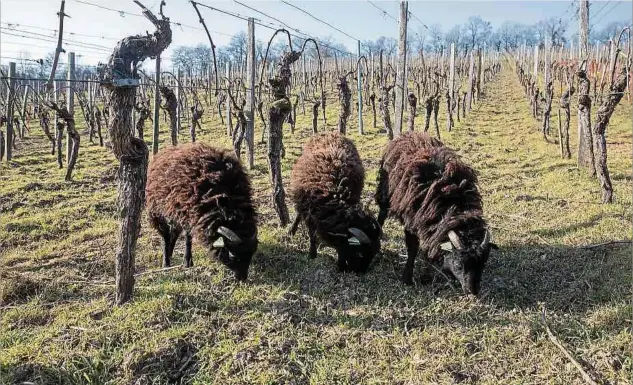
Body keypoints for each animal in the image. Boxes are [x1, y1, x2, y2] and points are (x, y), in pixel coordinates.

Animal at [146, 142, 256, 280]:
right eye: (232, 255)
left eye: (251, 253)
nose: (242, 278)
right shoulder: (187, 214)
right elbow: (188, 239)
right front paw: (187, 262)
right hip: (158, 213)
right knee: (165, 236)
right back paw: (166, 263)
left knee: (174, 235)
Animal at [288, 134, 380, 272]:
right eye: (359, 253)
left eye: (374, 254)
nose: (360, 273)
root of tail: (330, 133)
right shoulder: (311, 212)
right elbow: (312, 234)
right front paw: (312, 254)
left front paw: (341, 264)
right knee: (299, 213)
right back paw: (292, 230)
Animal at [372, 132, 496, 294]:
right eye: (459, 265)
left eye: (483, 263)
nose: (473, 291)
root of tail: (408, 134)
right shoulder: (411, 218)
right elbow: (412, 247)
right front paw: (407, 278)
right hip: (385, 191)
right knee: (382, 213)